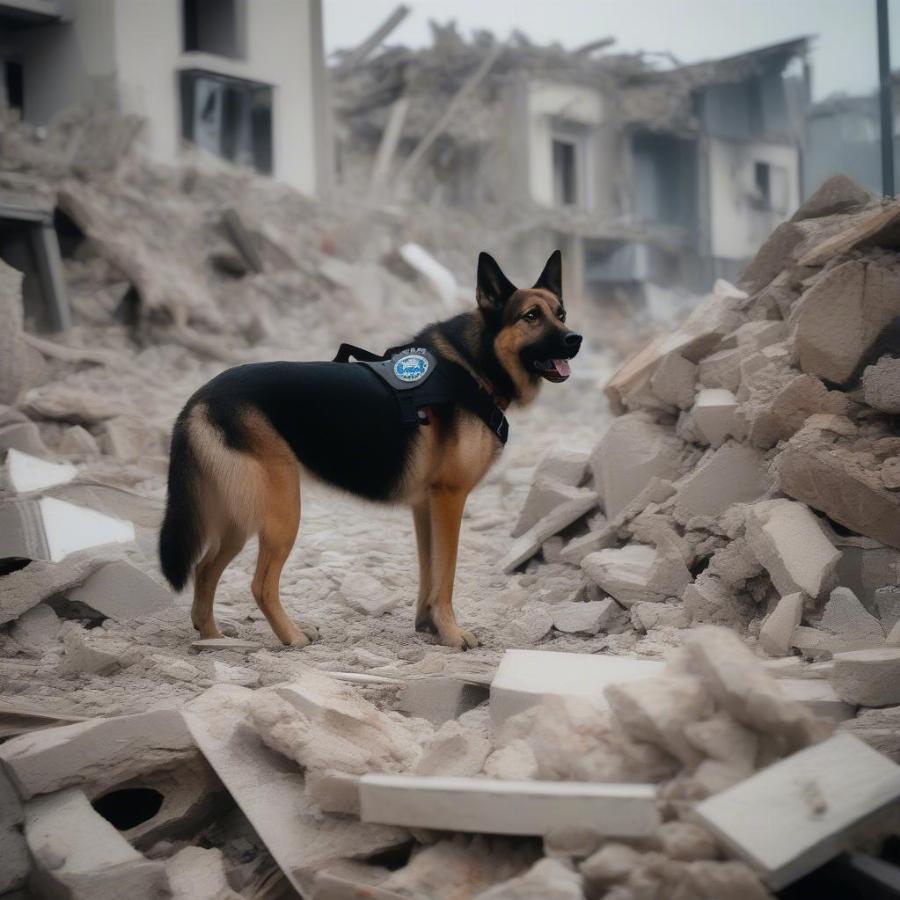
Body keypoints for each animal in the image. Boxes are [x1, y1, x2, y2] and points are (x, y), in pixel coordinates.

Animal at [160, 250, 584, 652]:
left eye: (561, 314)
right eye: (531, 316)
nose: (575, 339)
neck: (474, 364)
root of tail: (200, 399)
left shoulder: (426, 506)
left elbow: (429, 571)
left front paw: (429, 626)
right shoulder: (450, 499)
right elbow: (446, 575)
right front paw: (452, 633)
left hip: (240, 517)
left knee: (204, 569)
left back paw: (213, 638)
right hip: (280, 513)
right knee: (259, 584)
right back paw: (291, 636)